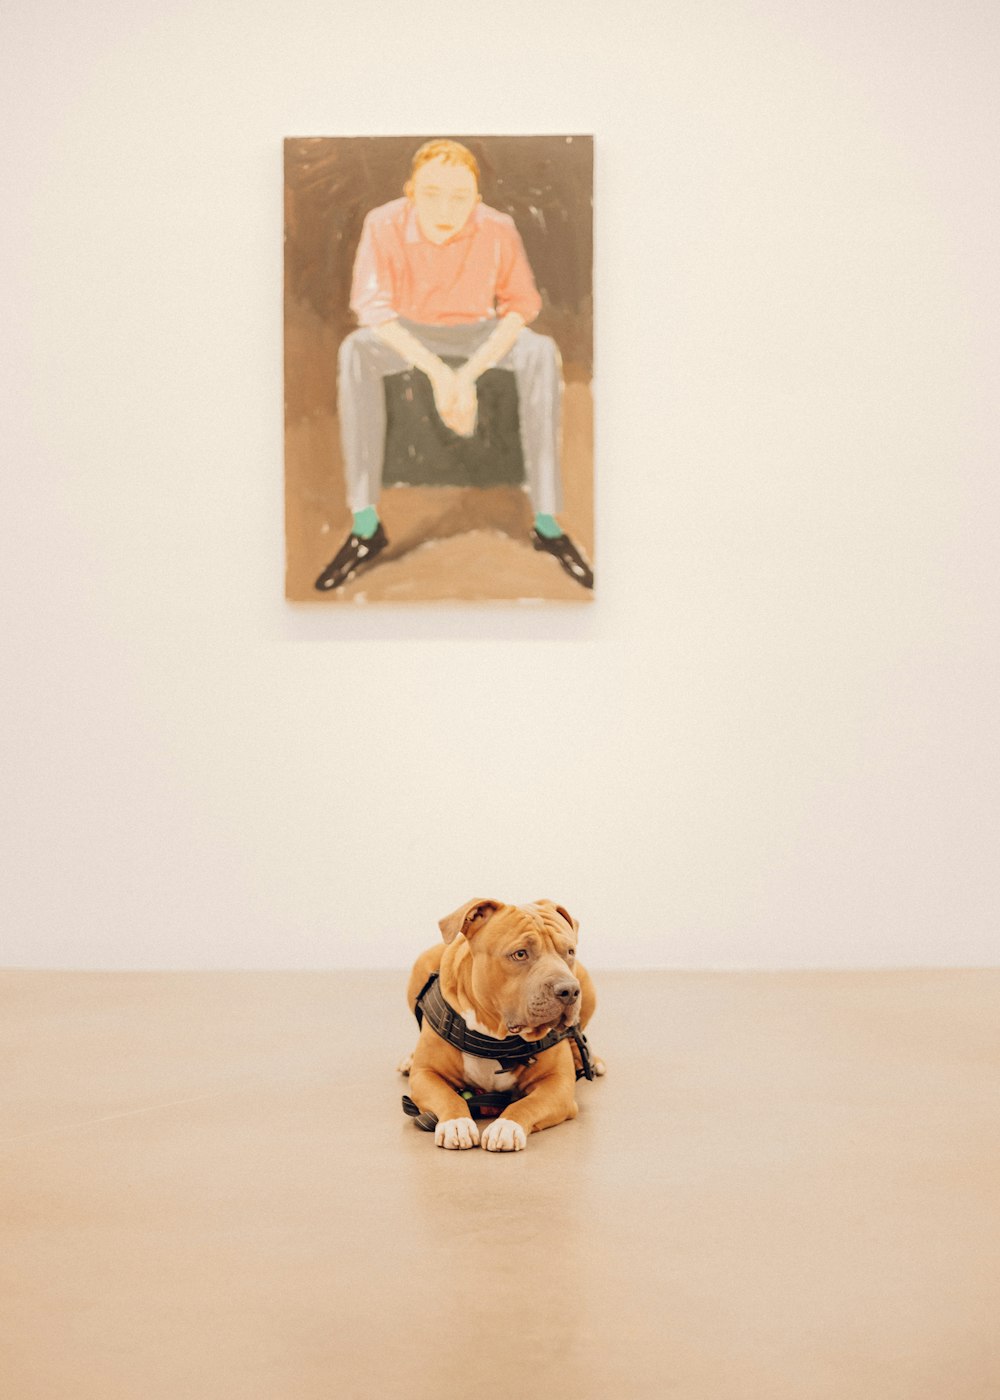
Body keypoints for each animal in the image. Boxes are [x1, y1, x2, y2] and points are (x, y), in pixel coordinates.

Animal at [394, 901, 599, 1153]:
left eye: (569, 952)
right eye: (520, 954)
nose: (569, 990)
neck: (495, 1037)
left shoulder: (558, 1086)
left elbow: (527, 1104)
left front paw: (506, 1126)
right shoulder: (425, 1075)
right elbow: (446, 1095)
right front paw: (456, 1122)